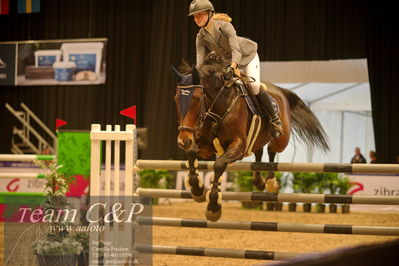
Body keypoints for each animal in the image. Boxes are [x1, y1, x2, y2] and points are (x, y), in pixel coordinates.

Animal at [170, 54, 330, 222]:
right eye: (175, 99)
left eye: (197, 99)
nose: (183, 140)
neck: (218, 105)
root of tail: (281, 90)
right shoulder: (206, 145)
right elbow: (191, 153)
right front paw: (197, 189)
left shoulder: (238, 146)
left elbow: (219, 165)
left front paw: (213, 208)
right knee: (259, 152)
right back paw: (259, 182)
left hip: (281, 139)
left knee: (272, 150)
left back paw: (271, 182)